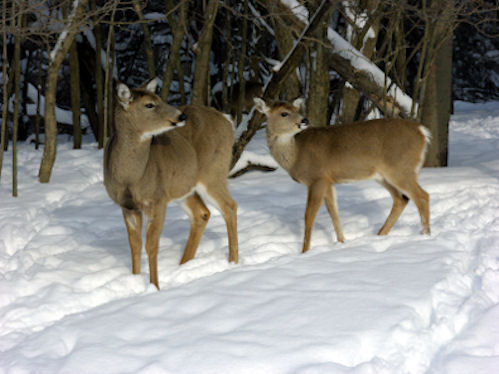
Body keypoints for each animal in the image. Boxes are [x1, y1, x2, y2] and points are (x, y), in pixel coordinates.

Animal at [103, 79, 238, 290]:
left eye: (159, 98)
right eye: (149, 104)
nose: (181, 116)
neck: (130, 178)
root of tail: (227, 120)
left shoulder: (157, 199)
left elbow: (151, 245)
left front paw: (154, 287)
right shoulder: (127, 206)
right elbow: (134, 245)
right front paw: (135, 282)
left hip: (213, 173)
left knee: (230, 207)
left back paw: (233, 262)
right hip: (184, 186)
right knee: (202, 213)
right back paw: (183, 265)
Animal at [256, 96, 432, 254]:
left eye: (296, 110)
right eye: (284, 113)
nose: (304, 120)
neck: (296, 154)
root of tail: (423, 132)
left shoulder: (317, 178)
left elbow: (309, 216)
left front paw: (304, 252)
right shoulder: (328, 180)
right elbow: (334, 212)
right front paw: (341, 242)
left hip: (400, 168)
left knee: (422, 196)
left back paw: (425, 235)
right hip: (383, 175)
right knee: (402, 199)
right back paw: (380, 235)